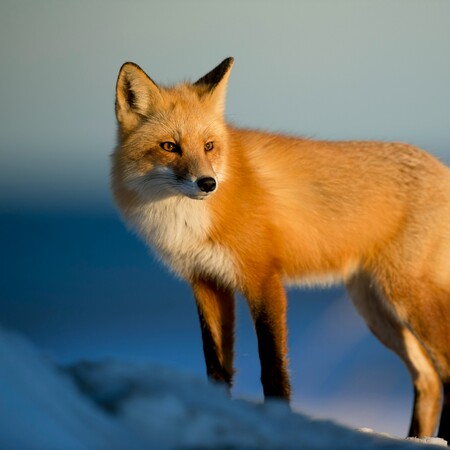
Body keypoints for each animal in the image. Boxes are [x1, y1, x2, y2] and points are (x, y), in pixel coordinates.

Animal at [110, 57, 450, 440]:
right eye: (169, 146)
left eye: (209, 146)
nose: (208, 183)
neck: (188, 220)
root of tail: (441, 168)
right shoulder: (206, 282)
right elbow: (216, 368)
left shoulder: (263, 278)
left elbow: (273, 369)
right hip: (375, 308)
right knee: (428, 379)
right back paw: (418, 438)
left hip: (407, 296)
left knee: (445, 371)